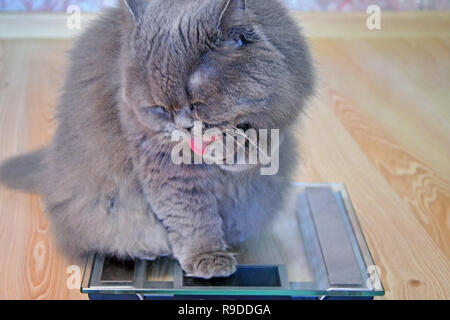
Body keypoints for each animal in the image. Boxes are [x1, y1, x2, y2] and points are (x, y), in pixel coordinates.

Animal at [0, 0, 314, 278]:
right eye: (160, 108)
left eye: (197, 102)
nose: (183, 126)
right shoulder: (159, 155)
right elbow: (189, 210)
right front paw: (207, 258)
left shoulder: (286, 101)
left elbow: (266, 136)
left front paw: (235, 148)